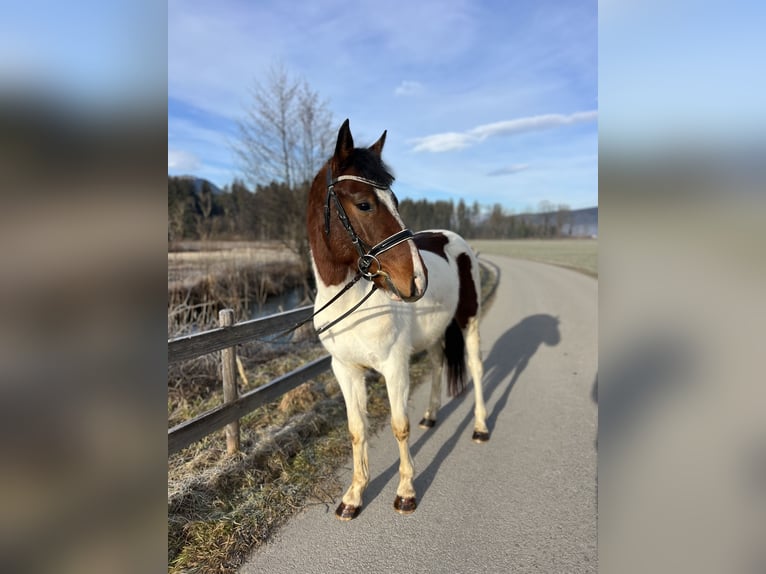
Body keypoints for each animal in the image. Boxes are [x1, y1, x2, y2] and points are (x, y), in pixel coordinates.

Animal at [308, 118, 492, 520]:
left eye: (396, 201)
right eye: (363, 204)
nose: (418, 279)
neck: (353, 304)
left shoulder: (394, 365)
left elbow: (399, 426)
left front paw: (406, 491)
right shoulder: (345, 369)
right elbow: (357, 429)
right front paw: (354, 496)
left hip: (469, 321)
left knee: (475, 367)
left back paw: (481, 427)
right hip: (435, 333)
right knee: (439, 363)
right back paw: (432, 415)